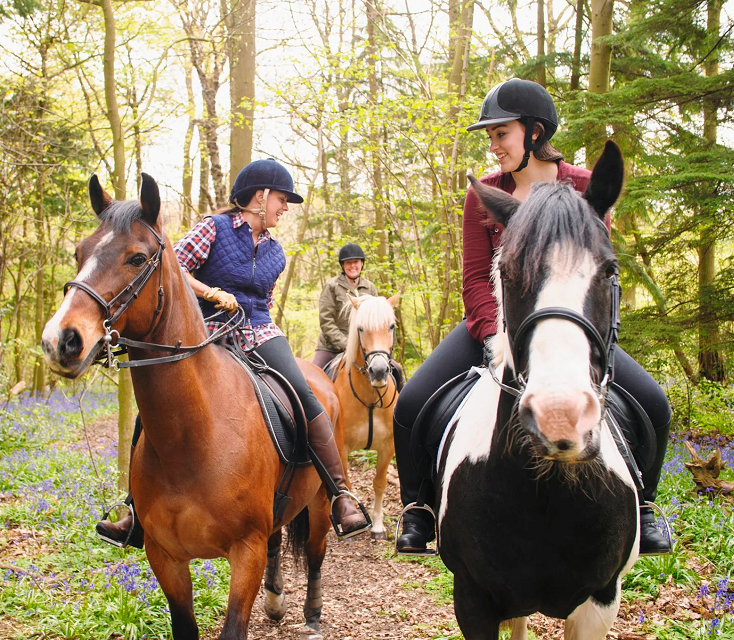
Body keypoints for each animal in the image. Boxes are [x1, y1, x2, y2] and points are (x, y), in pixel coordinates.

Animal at [45, 172, 340, 636]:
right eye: (79, 252)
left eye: (137, 258)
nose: (61, 340)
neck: (194, 436)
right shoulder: (164, 556)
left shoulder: (245, 551)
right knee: (279, 538)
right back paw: (276, 602)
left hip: (321, 503)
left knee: (314, 553)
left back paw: (312, 615)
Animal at [332, 296, 400, 540]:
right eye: (360, 328)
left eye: (391, 326)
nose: (378, 371)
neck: (370, 398)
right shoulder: (341, 447)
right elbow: (348, 484)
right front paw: (352, 519)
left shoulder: (388, 446)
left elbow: (379, 483)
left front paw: (378, 525)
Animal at [436, 141, 640, 640]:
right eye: (506, 272)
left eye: (609, 269)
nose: (559, 417)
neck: (546, 496)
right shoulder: (473, 601)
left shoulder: (600, 603)